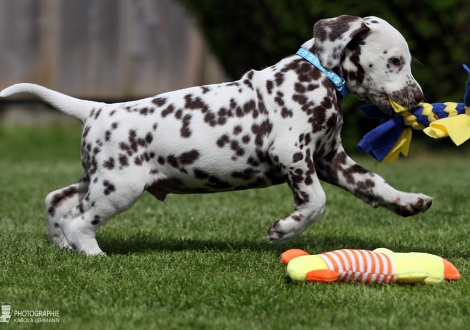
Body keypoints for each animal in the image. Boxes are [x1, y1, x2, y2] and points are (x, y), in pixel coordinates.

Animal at [0, 15, 434, 255]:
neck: (317, 74)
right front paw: (286, 229)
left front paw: (407, 201)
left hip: (97, 178)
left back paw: (63, 247)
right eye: (396, 61)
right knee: (78, 220)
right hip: (119, 187)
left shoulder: (331, 159)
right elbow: (316, 202)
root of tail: (97, 109)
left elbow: (373, 183)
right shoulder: (294, 155)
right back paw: (92, 256)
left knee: (57, 201)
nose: (419, 100)